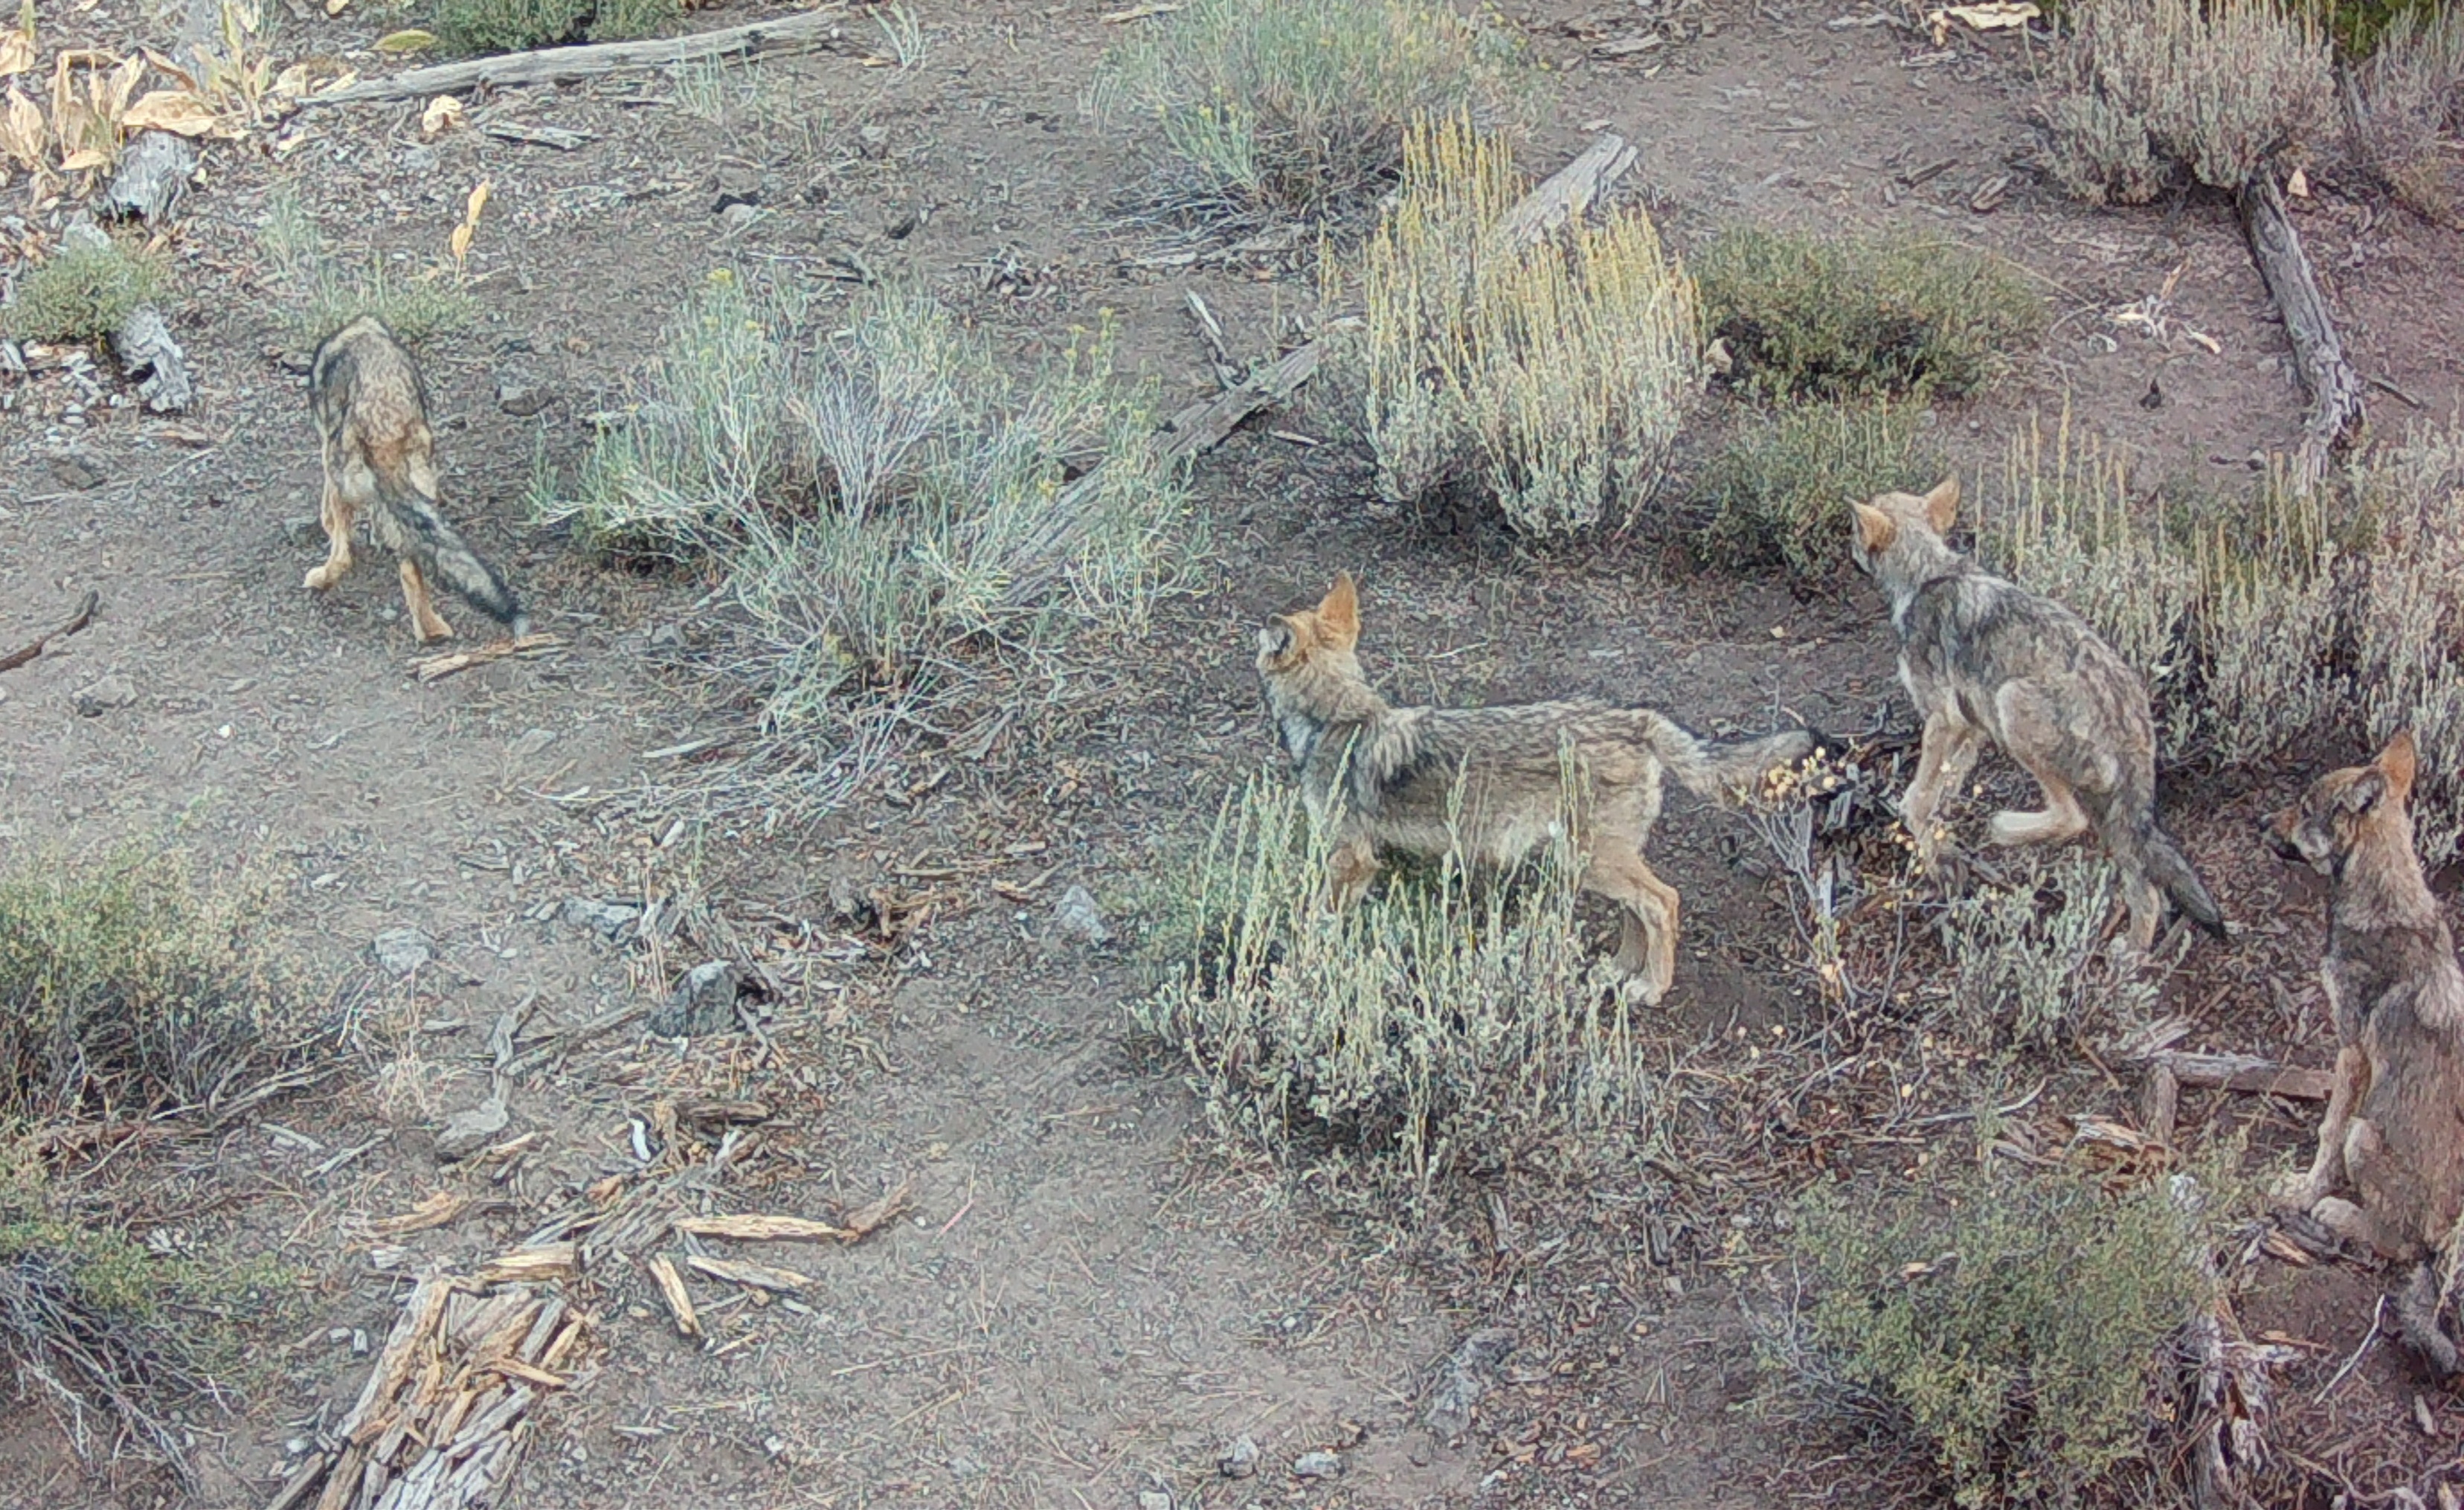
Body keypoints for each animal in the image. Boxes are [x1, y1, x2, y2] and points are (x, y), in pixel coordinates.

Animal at [305, 316, 527, 643]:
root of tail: (384, 430)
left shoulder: (327, 451)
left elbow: (328, 515)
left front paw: (330, 526)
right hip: (422, 485)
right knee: (412, 564)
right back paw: (432, 630)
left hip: (345, 477)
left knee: (345, 557)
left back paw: (322, 578)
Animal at [1255, 573, 1817, 1005]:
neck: (1335, 717)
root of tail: (1636, 720)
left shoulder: (1348, 859)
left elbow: (1316, 920)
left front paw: (1301, 963)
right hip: (1597, 862)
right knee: (1638, 910)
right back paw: (1620, 971)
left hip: (1589, 863)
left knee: (1663, 903)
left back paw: (1650, 988)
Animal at [1849, 475, 2224, 951]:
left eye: (1853, 531)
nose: (1848, 548)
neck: (1926, 572)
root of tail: (2134, 727)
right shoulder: (1971, 726)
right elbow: (1943, 788)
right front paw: (1940, 838)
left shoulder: (1943, 718)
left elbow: (1916, 798)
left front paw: (1925, 843)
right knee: (2148, 891)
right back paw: (2134, 951)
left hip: (2012, 707)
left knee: (2072, 818)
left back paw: (2008, 828)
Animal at [2263, 731, 2464, 1373]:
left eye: (2304, 808)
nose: (2259, 821)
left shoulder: (2351, 1050)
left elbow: (2326, 1132)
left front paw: (2303, 1191)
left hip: (2367, 1135)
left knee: (2399, 1243)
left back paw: (2335, 1214)